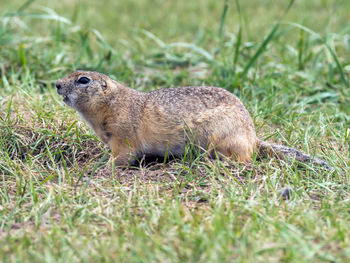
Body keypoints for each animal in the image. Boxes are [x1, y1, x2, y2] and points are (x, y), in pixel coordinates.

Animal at [55, 70, 330, 169]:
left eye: (83, 80)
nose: (56, 84)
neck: (112, 102)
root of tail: (252, 136)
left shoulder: (122, 136)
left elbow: (122, 155)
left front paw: (101, 164)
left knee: (243, 159)